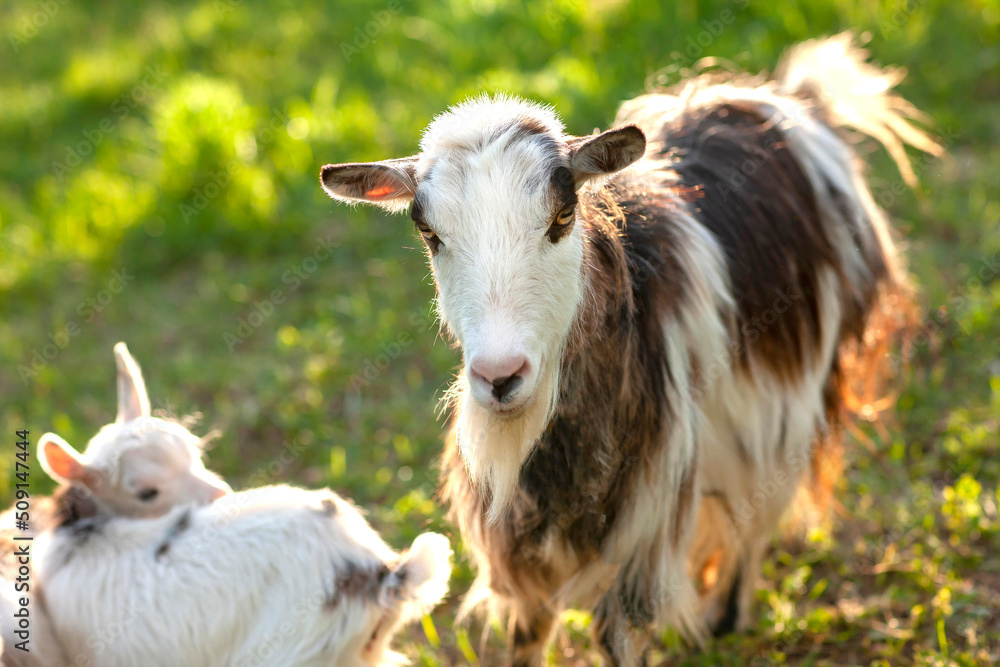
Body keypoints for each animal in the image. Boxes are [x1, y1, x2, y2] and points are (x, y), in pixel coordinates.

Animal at [319, 34, 938, 664]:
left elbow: (618, 637)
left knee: (758, 506)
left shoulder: (645, 524)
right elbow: (527, 636)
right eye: (430, 234)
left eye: (562, 215)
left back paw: (725, 616)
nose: (500, 376)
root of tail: (787, 95)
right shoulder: (522, 548)